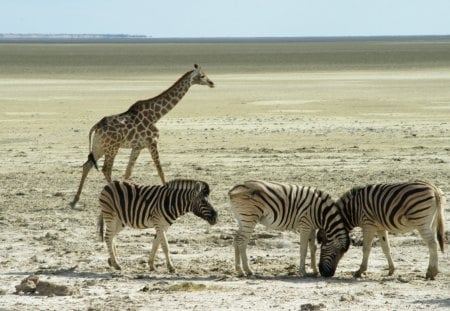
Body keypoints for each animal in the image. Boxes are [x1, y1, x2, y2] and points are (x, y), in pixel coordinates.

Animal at [70, 64, 214, 208]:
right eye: (202, 76)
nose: (212, 83)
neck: (156, 115)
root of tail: (96, 126)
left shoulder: (138, 147)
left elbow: (128, 172)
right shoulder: (152, 143)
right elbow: (160, 170)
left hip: (99, 147)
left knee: (87, 165)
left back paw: (75, 199)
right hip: (112, 148)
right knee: (106, 169)